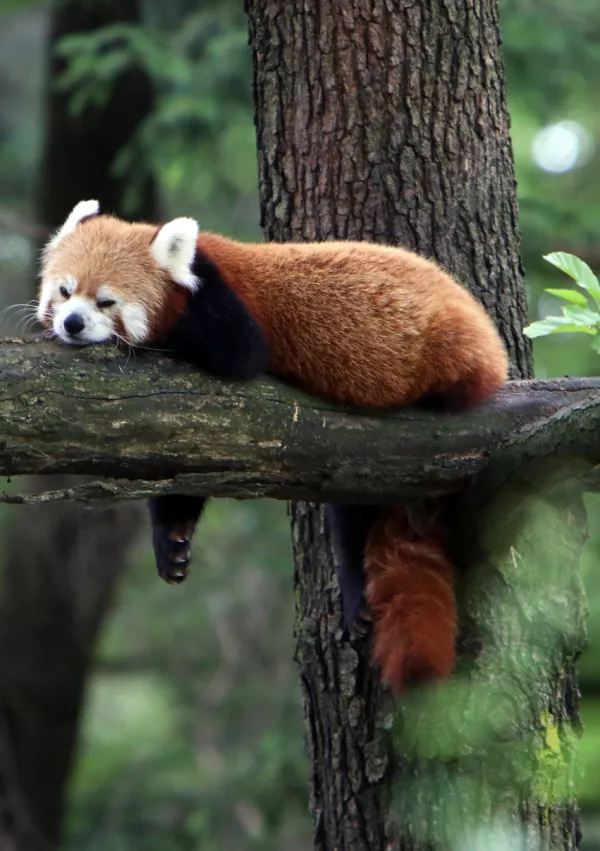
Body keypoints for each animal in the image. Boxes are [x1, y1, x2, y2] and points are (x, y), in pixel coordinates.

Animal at [36, 203, 506, 696]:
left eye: (105, 301)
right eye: (65, 291)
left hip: (452, 357)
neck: (192, 277)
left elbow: (241, 351)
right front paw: (172, 542)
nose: (72, 323)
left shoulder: (225, 310)